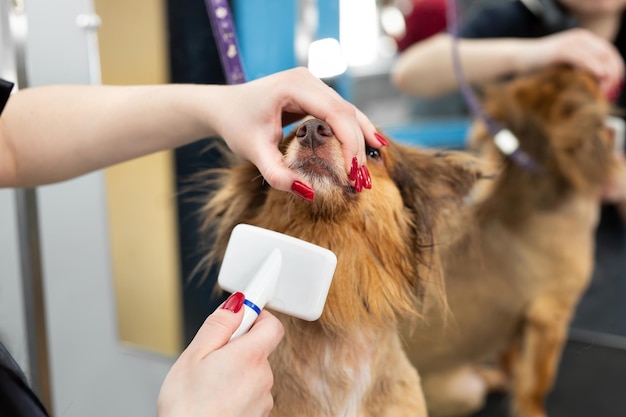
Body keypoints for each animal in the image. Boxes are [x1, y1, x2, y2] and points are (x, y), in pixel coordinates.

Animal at [402, 64, 620, 416]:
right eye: (589, 81)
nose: (571, 62)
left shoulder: (521, 318)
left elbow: (512, 356)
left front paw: (510, 375)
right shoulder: (551, 315)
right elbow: (538, 381)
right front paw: (532, 409)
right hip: (464, 391)